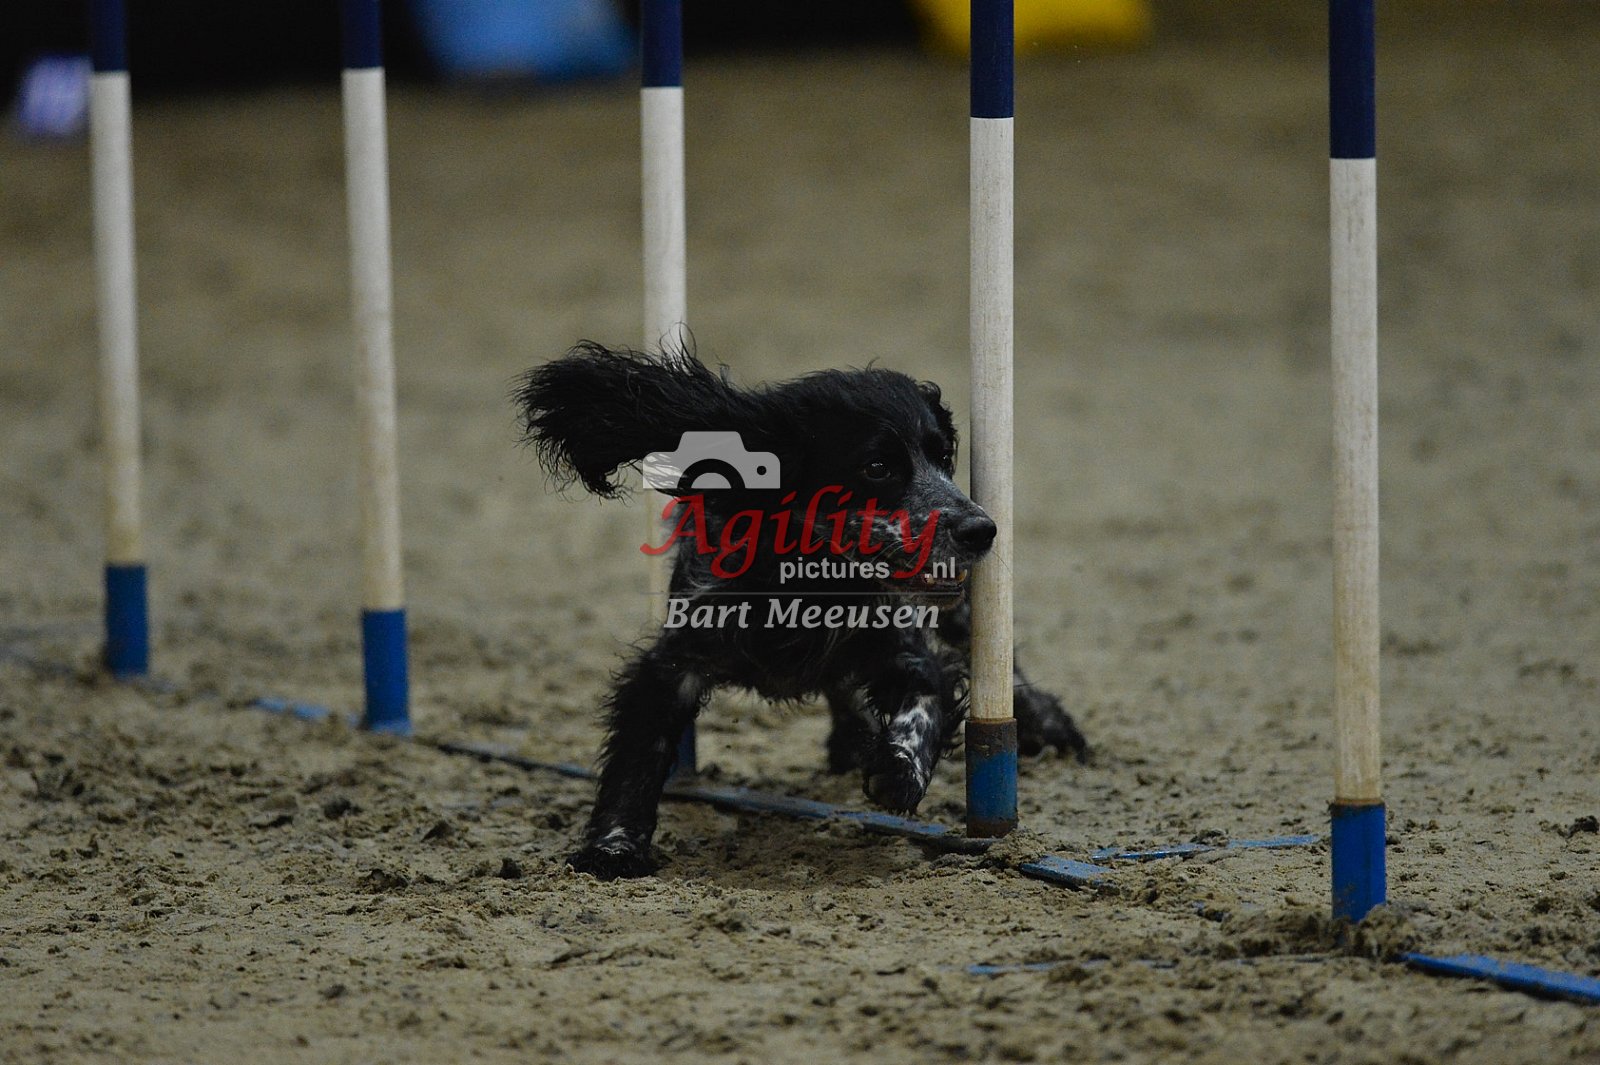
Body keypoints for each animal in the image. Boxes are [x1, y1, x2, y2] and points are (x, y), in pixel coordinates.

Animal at [516, 341, 1087, 879]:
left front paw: (898, 769)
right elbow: (638, 756)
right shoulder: (674, 662)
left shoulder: (903, 651)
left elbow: (924, 704)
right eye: (877, 466)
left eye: (944, 456)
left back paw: (1049, 728)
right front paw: (613, 848)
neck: (810, 585)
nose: (981, 529)